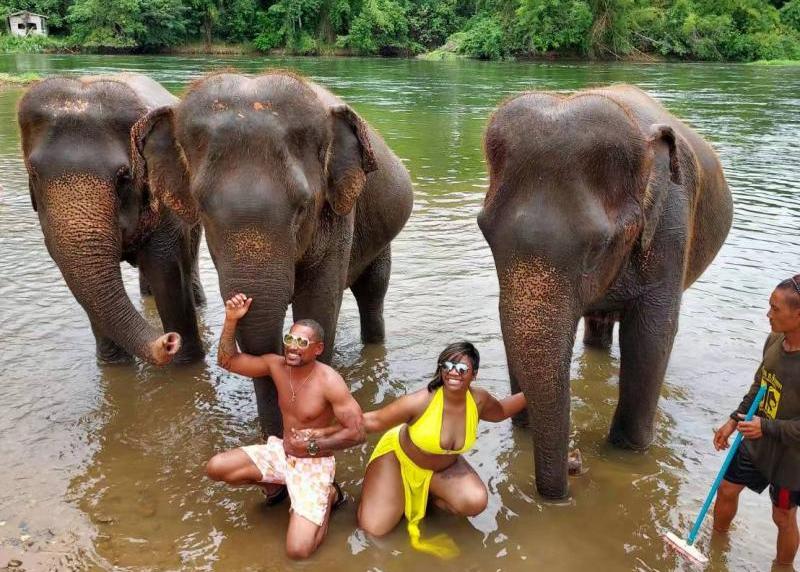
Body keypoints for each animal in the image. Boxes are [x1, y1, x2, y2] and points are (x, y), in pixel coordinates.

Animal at [18, 73, 206, 366]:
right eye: (33, 174)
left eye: (124, 176)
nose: (168, 340)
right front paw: (114, 365)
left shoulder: (165, 206)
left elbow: (167, 269)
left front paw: (187, 364)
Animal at [478, 84, 732, 499]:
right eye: (484, 232)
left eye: (597, 247)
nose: (575, 463)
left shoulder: (671, 230)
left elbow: (651, 335)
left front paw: (627, 453)